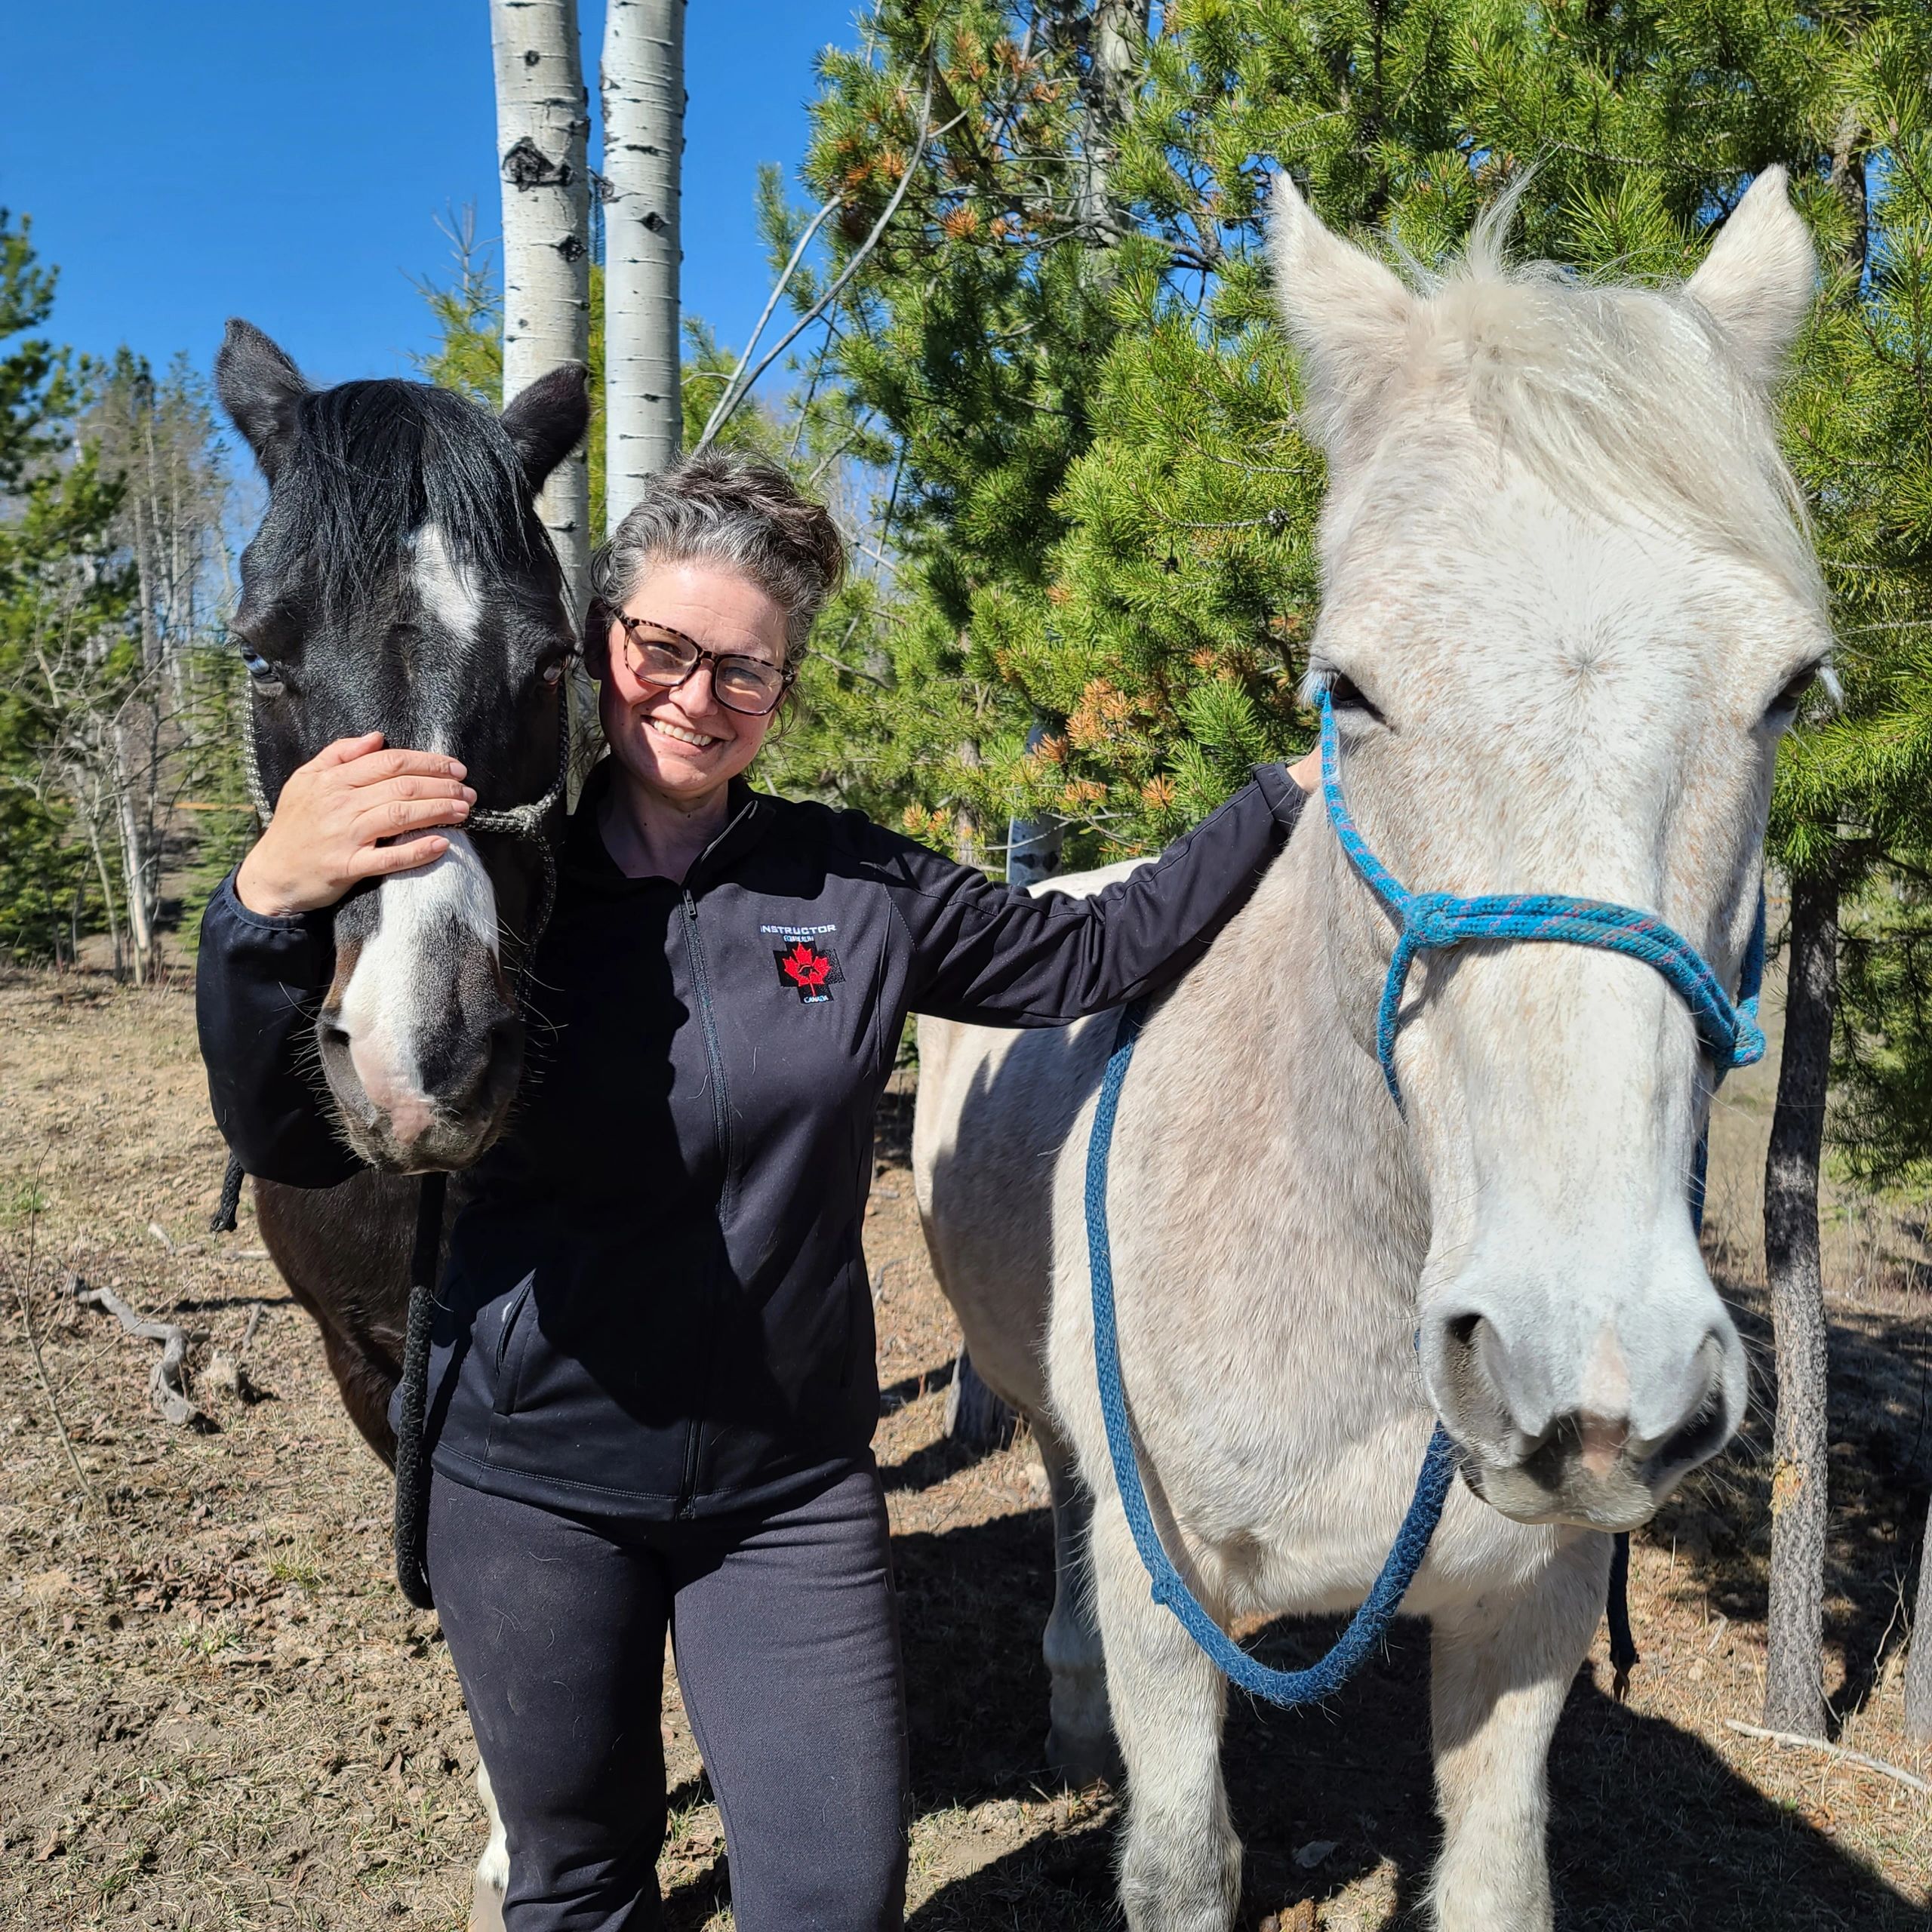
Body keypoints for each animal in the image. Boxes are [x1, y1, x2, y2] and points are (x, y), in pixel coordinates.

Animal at [912, 170, 1831, 1932]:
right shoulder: (1165, 1600)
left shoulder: (1526, 1616)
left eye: (1785, 695)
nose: (1585, 1375)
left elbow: (1495, 1874)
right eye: (1350, 691)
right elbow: (1181, 1855)